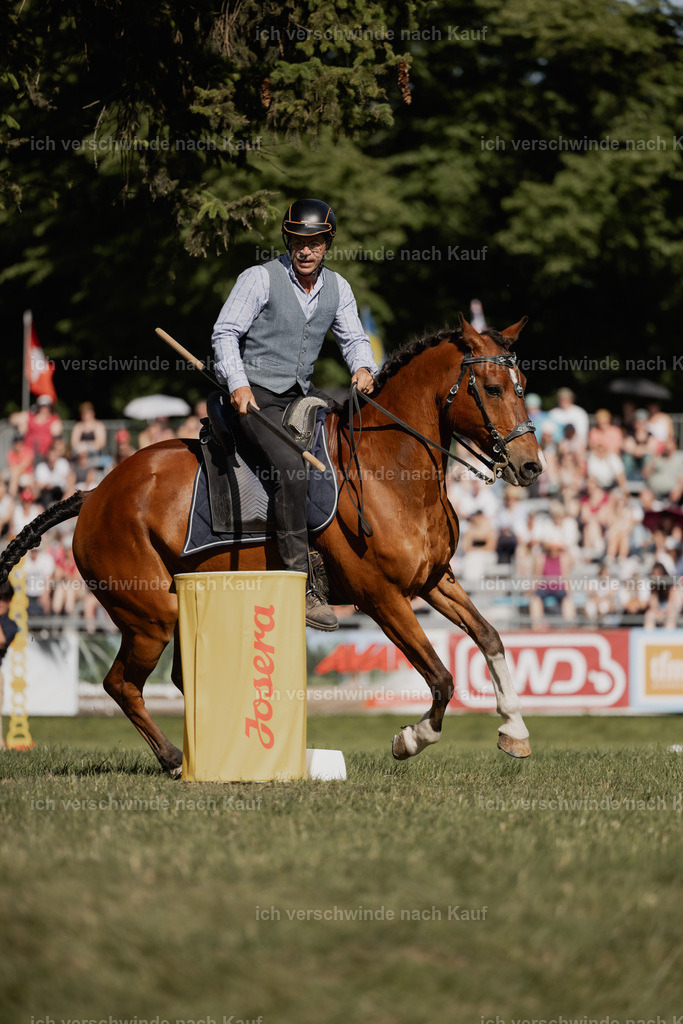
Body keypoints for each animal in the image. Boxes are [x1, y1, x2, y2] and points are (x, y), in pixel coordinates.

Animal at [0, 315, 542, 775]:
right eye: (492, 388)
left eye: (522, 385)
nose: (531, 466)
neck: (390, 472)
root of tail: (95, 493)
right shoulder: (382, 598)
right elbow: (441, 676)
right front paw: (410, 737)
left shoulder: (434, 581)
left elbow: (490, 638)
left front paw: (514, 730)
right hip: (150, 617)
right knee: (122, 684)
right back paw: (174, 759)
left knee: (179, 680)